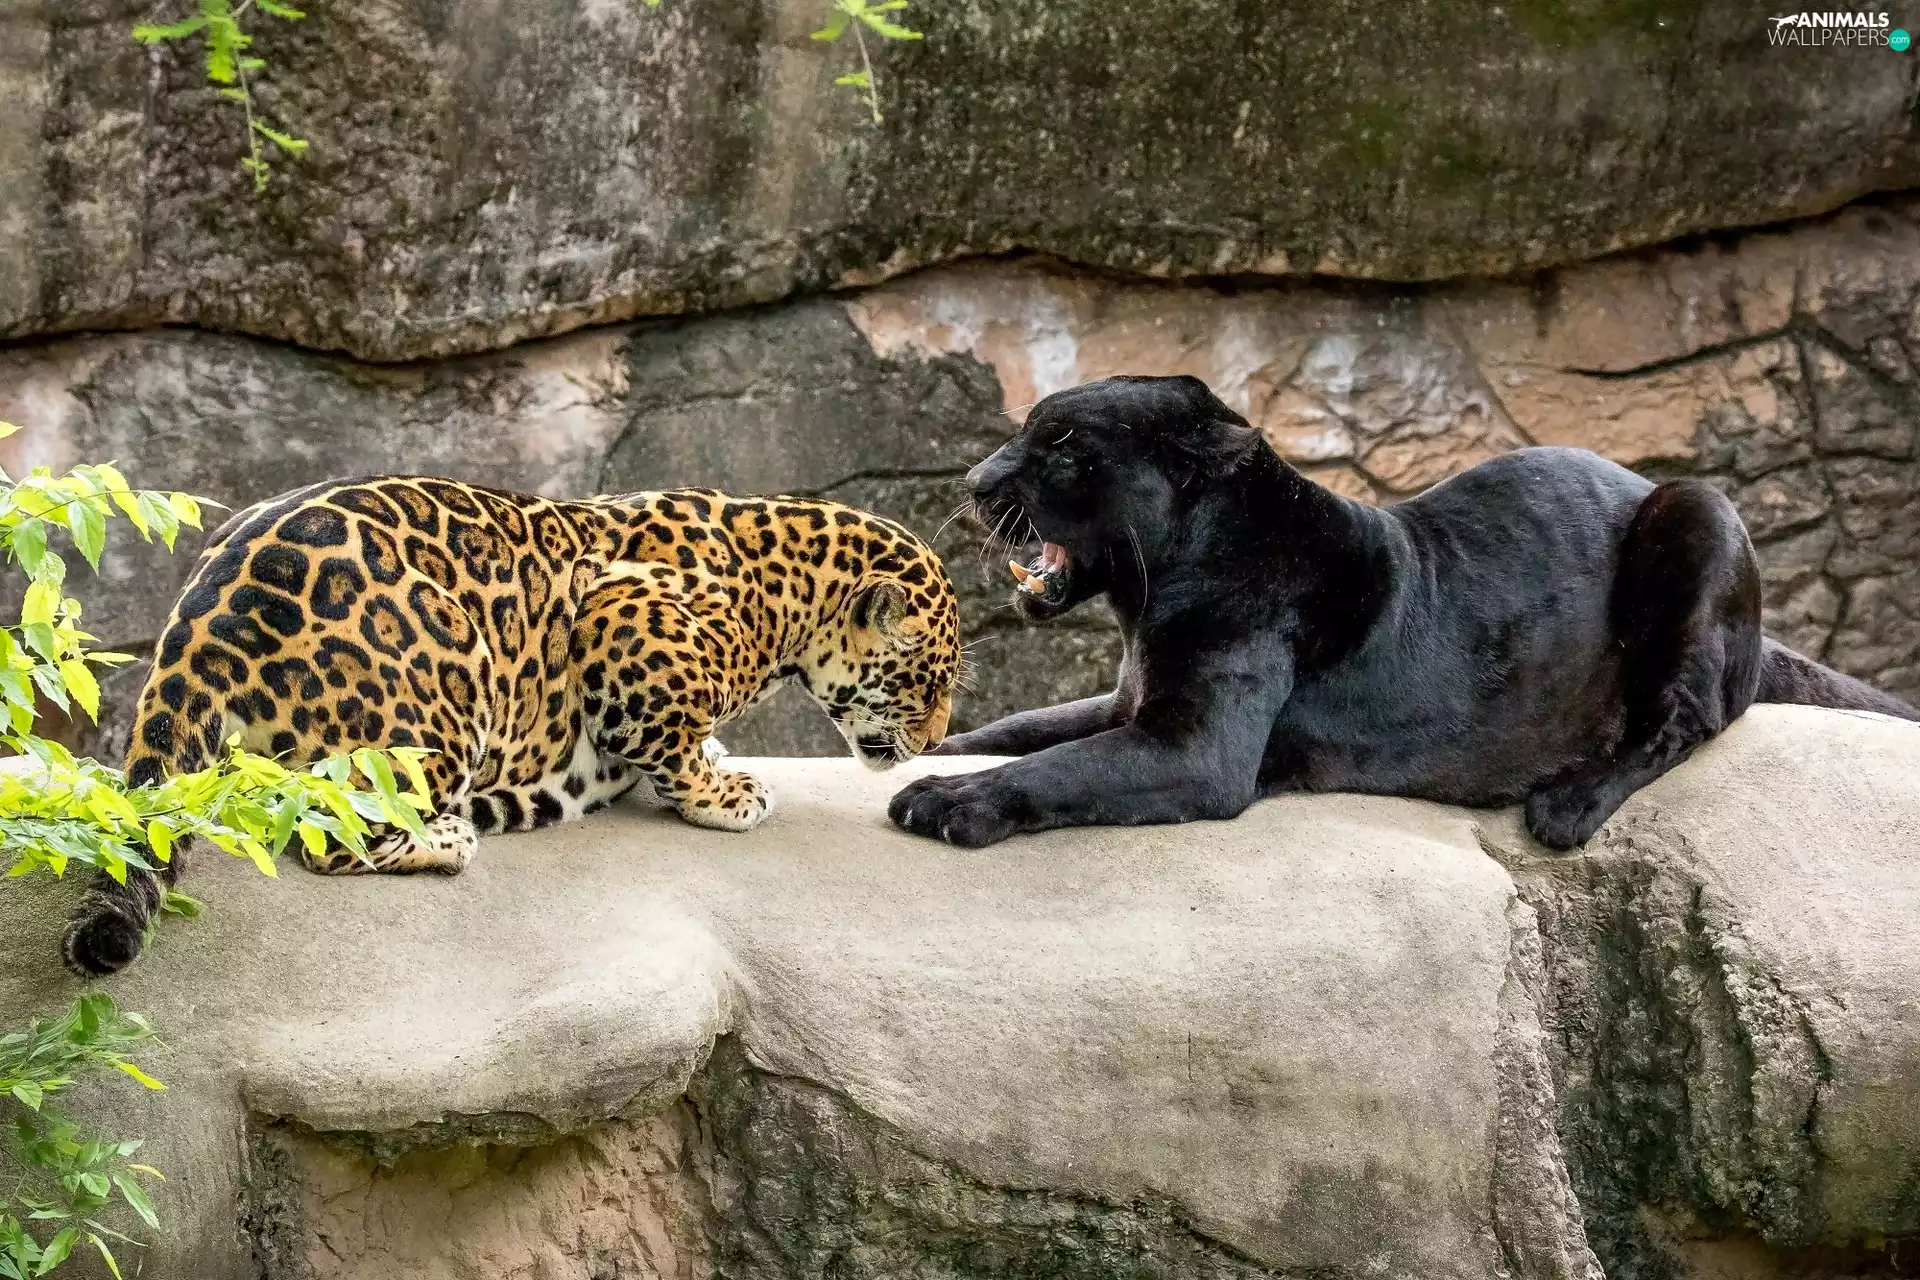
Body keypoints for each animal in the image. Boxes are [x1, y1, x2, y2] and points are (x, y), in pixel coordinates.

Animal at [62, 477, 960, 977]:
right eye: (930, 685)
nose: (934, 743)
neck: (788, 595)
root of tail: (200, 623)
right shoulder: (625, 623)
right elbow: (667, 732)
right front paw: (721, 793)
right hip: (445, 678)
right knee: (331, 830)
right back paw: (447, 838)